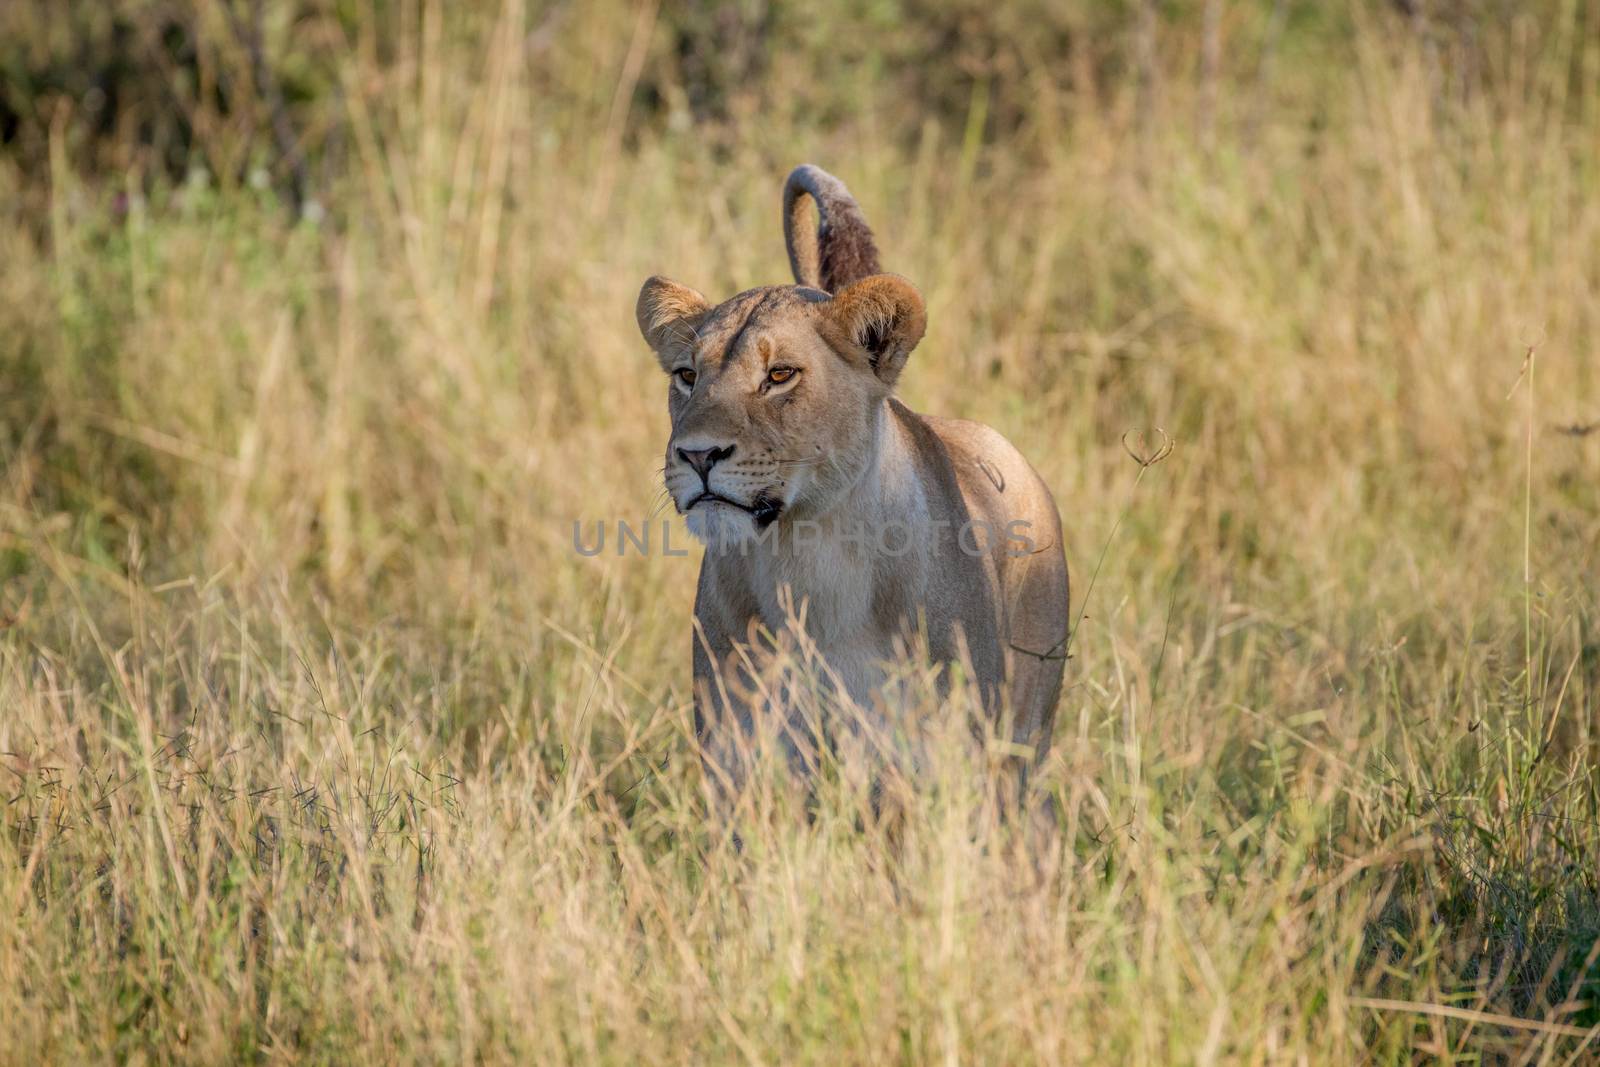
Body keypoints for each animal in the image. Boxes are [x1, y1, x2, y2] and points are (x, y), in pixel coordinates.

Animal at [630, 163, 1068, 796]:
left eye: (780, 375)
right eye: (687, 376)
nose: (697, 455)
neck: (809, 558)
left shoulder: (945, 761)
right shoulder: (741, 762)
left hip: (1024, 741)